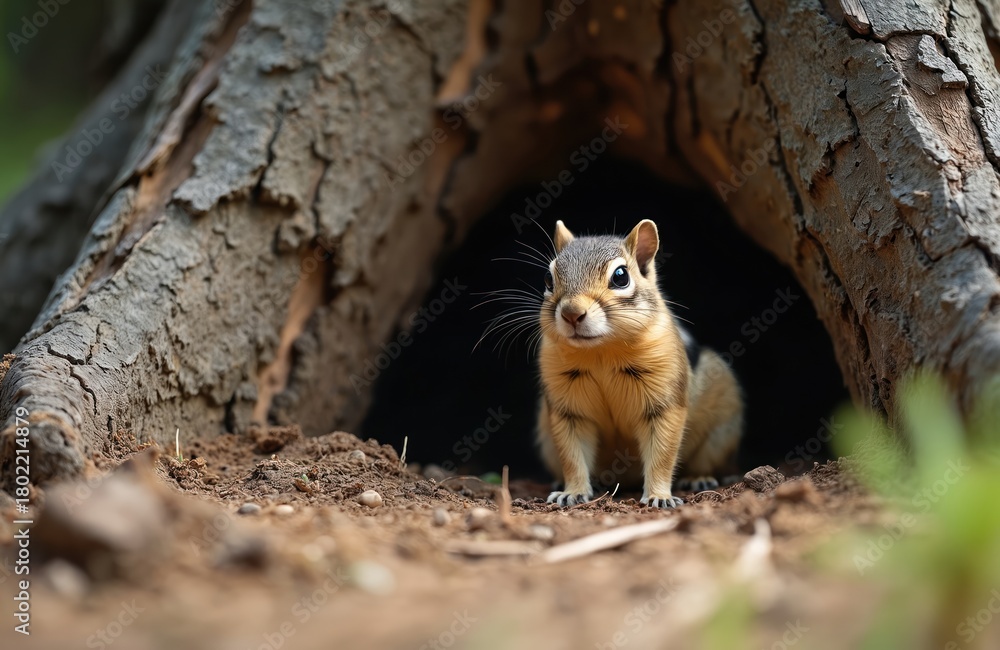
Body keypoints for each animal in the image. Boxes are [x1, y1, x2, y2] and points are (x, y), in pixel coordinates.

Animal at [536, 219, 744, 508]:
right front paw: (573, 492)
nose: (571, 313)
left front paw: (659, 496)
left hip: (720, 432)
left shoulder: (663, 403)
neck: (600, 353)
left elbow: (662, 455)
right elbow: (572, 456)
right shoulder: (569, 411)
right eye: (548, 278)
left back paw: (698, 478)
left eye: (620, 276)